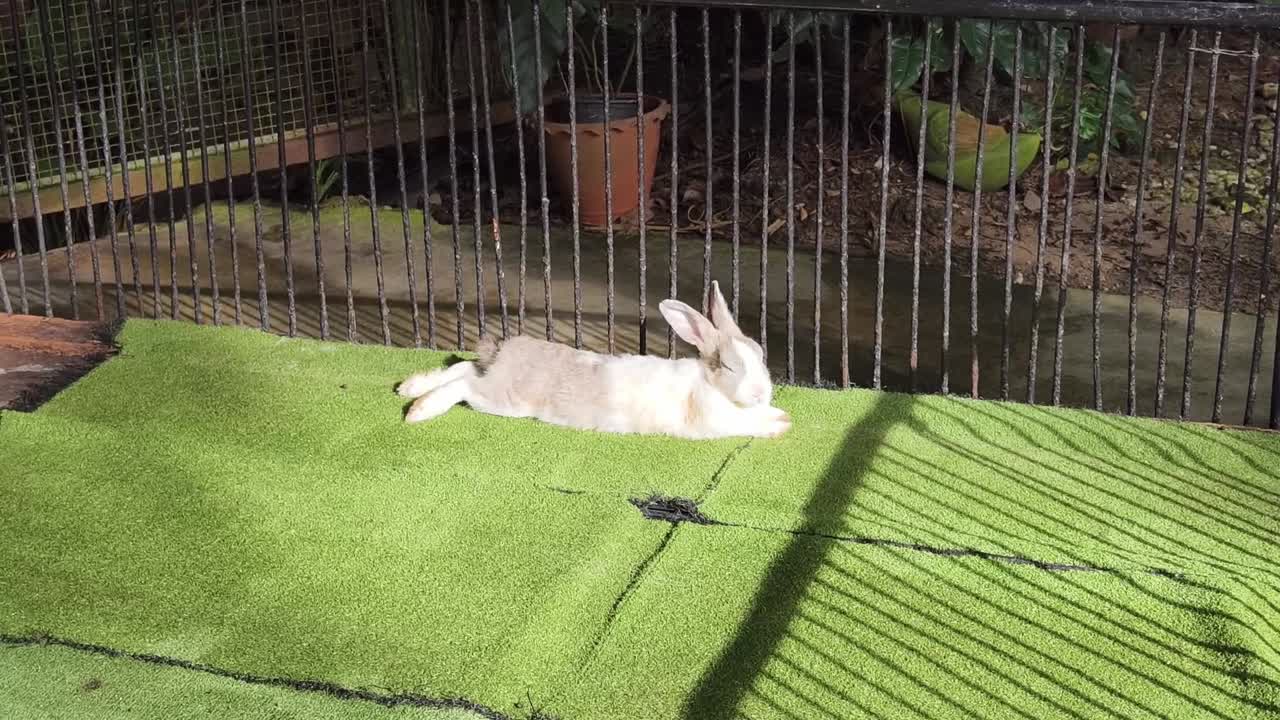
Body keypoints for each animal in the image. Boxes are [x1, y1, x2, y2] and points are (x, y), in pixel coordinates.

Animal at [396, 281, 791, 439]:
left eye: (760, 355)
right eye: (729, 366)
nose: (760, 393)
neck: (708, 385)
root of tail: (504, 353)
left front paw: (780, 415)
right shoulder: (716, 421)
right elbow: (746, 424)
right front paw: (779, 425)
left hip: (492, 379)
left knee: (464, 366)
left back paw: (409, 387)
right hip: (503, 399)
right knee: (464, 384)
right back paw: (419, 410)